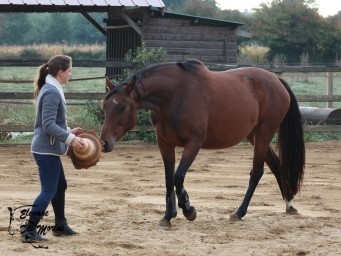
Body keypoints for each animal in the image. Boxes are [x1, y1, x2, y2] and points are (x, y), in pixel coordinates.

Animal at [99, 59, 304, 226]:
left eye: (122, 107)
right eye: (104, 107)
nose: (104, 142)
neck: (174, 96)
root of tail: (277, 80)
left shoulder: (194, 143)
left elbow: (178, 176)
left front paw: (188, 209)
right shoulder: (164, 143)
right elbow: (168, 179)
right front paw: (168, 215)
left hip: (263, 134)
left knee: (257, 173)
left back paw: (239, 213)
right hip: (254, 136)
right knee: (275, 164)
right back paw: (289, 204)